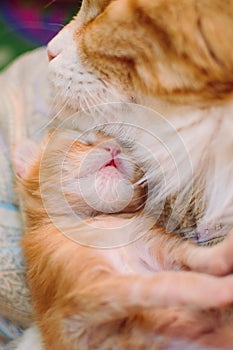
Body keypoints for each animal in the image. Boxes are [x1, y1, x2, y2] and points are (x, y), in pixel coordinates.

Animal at [16, 130, 233, 350]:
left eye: (124, 148)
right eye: (85, 141)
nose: (114, 147)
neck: (98, 221)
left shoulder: (161, 244)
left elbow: (202, 256)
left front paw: (226, 250)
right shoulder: (88, 295)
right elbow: (162, 284)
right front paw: (219, 289)